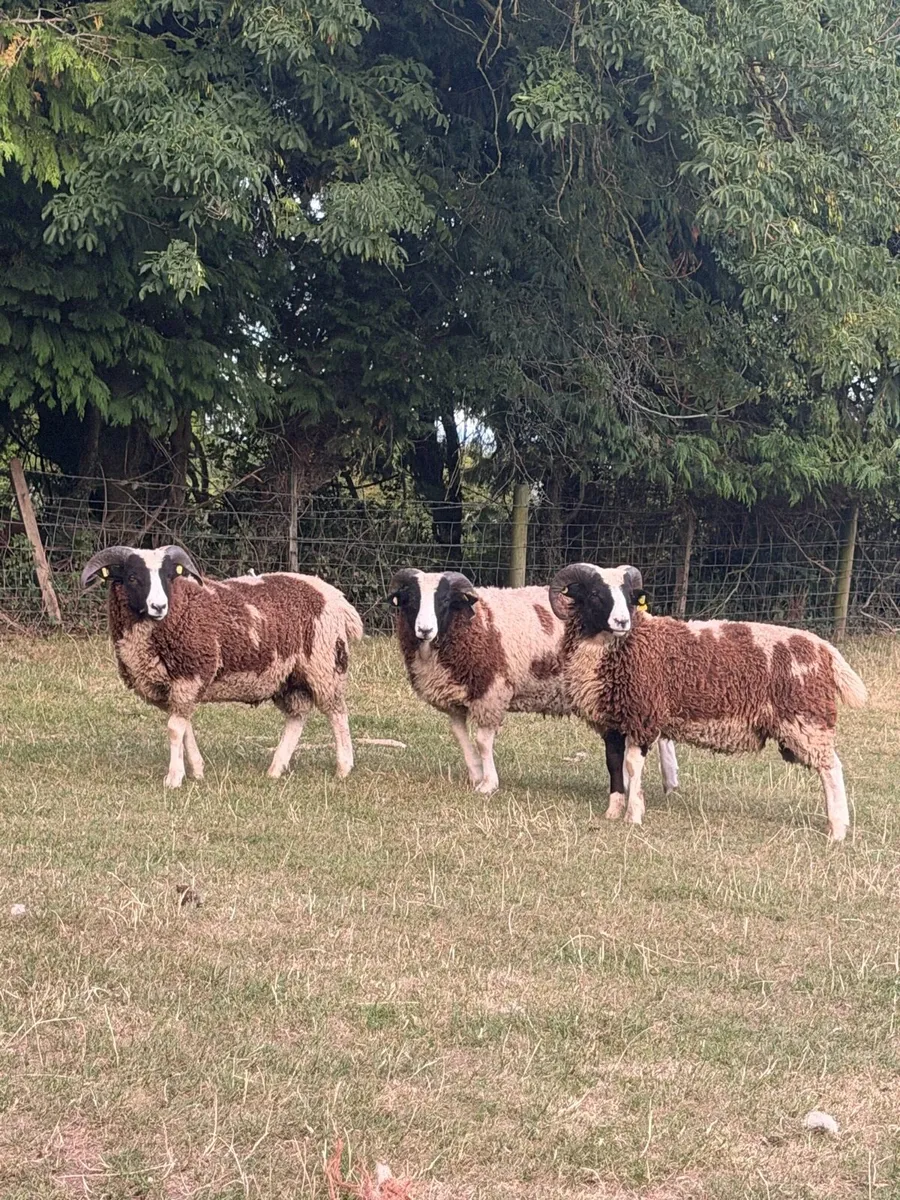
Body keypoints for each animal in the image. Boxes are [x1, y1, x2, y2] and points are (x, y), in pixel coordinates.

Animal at [81, 545, 363, 787]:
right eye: (132, 577)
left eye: (168, 576)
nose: (159, 606)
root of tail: (336, 598)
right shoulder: (173, 686)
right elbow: (185, 728)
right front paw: (196, 770)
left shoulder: (190, 675)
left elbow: (174, 729)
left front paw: (174, 778)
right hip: (290, 677)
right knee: (297, 717)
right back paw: (275, 769)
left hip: (325, 664)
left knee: (337, 713)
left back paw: (343, 768)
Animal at [387, 568, 678, 797]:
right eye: (412, 599)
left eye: (445, 599)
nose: (424, 629)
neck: (472, 623)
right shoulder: (456, 697)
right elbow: (460, 736)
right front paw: (476, 775)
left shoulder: (492, 691)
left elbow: (482, 741)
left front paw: (488, 784)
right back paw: (664, 782)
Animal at [549, 562, 867, 841]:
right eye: (595, 594)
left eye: (629, 597)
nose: (621, 621)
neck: (629, 643)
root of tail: (825, 650)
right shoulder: (612, 721)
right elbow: (613, 763)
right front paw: (613, 811)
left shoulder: (643, 715)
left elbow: (631, 765)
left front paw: (633, 815)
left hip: (807, 719)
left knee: (831, 769)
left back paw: (837, 830)